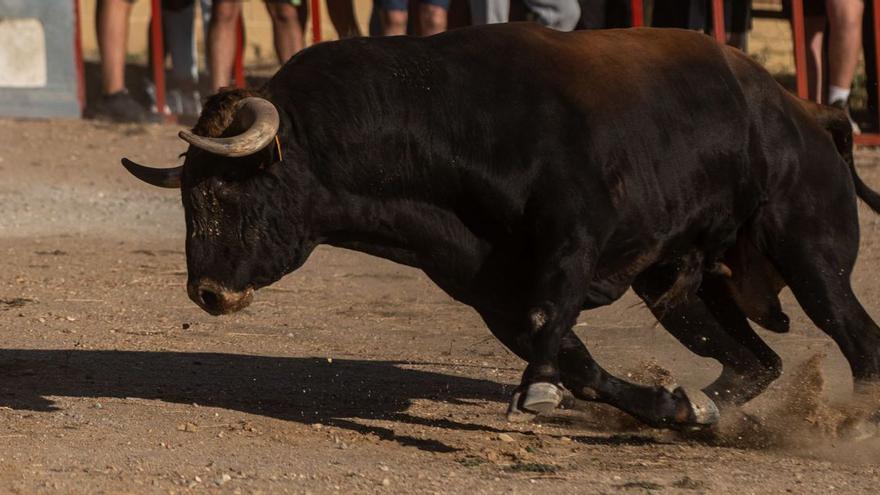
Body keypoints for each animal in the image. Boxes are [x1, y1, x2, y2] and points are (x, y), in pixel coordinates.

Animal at [122, 24, 880, 430]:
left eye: (227, 190)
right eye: (188, 195)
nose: (207, 293)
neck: (447, 118)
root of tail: (806, 111)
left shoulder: (573, 236)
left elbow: (554, 319)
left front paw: (538, 391)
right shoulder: (491, 293)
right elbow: (578, 363)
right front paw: (674, 405)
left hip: (810, 254)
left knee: (856, 333)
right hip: (682, 285)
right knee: (757, 362)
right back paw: (712, 406)